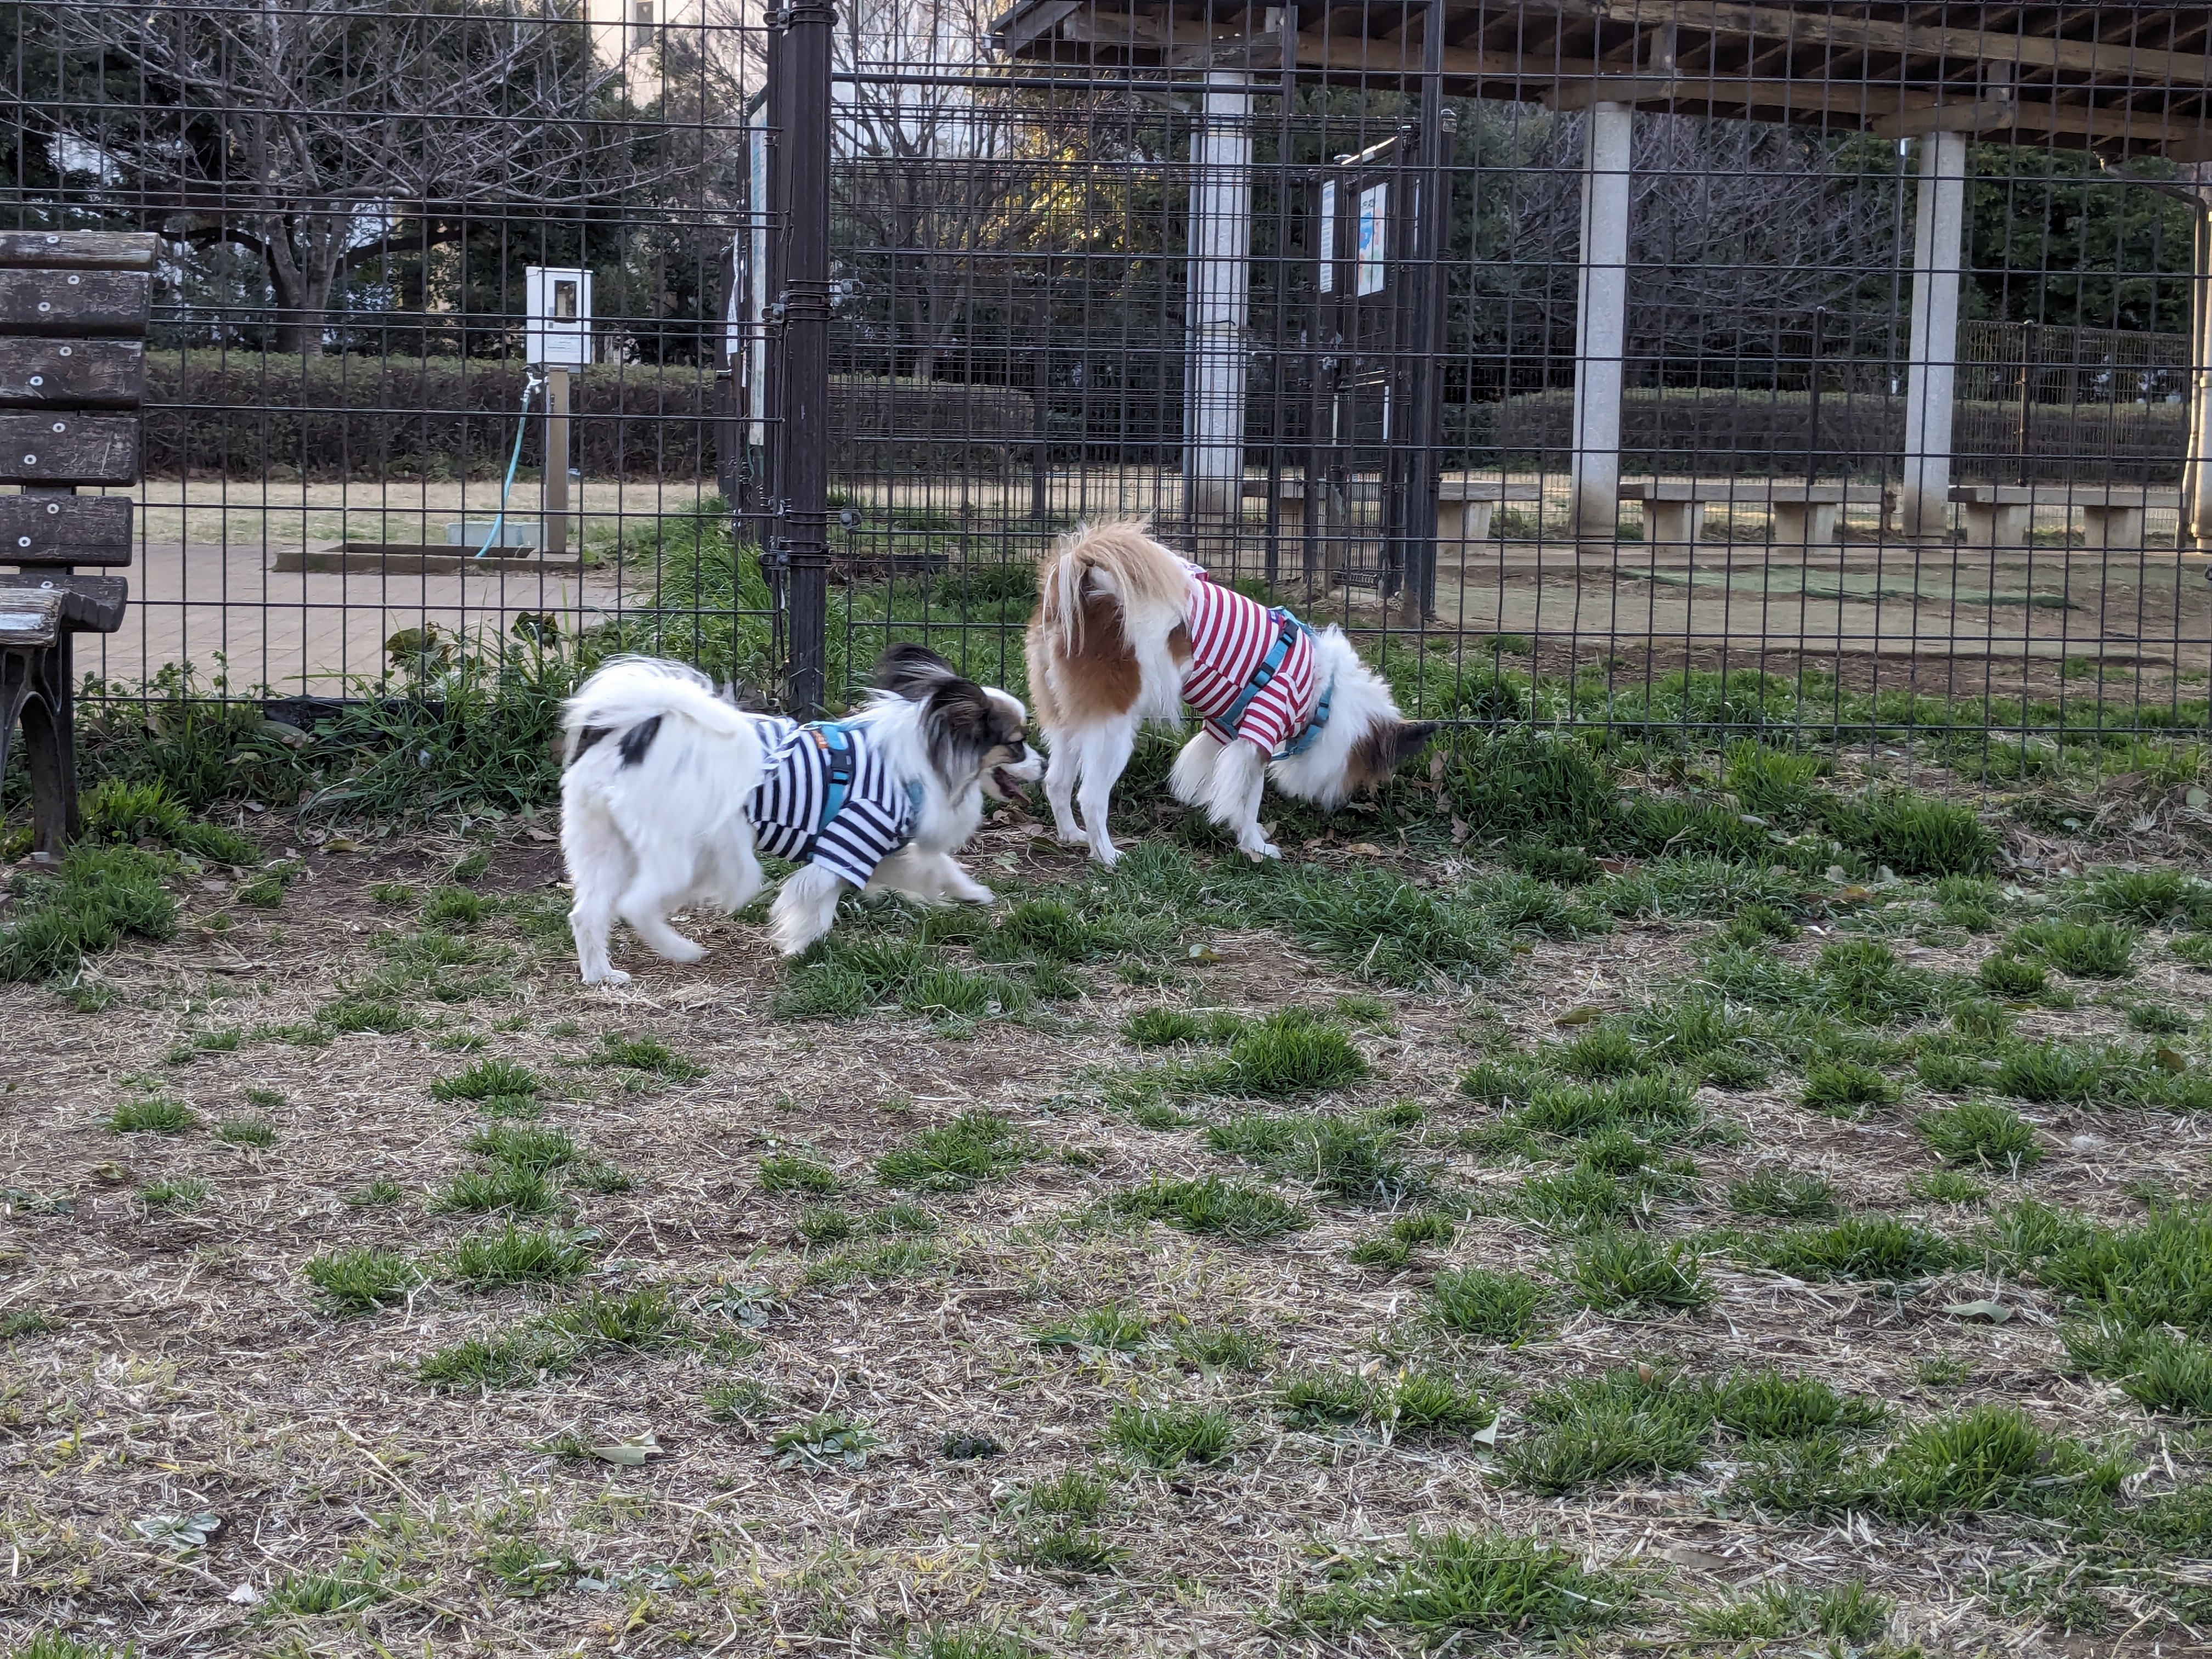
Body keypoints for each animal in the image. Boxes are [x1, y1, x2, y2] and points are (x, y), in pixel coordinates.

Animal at [553, 641, 1035, 982]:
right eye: (1017, 744)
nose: (1042, 763)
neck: (921, 760)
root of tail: (636, 733)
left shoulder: (882, 850)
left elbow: (937, 868)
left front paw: (972, 894)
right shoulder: (849, 841)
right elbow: (816, 901)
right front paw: (803, 949)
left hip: (604, 848)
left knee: (587, 913)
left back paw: (601, 976)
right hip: (679, 854)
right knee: (635, 905)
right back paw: (680, 951)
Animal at [1026, 522, 1442, 871]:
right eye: (1365, 774)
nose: (1343, 803)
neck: (1324, 694)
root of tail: (1081, 592)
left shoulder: (1227, 731)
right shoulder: (1259, 734)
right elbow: (1248, 799)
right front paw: (1255, 846)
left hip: (1067, 721)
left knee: (1057, 782)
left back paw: (1072, 835)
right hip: (1112, 730)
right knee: (1091, 796)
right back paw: (1107, 855)